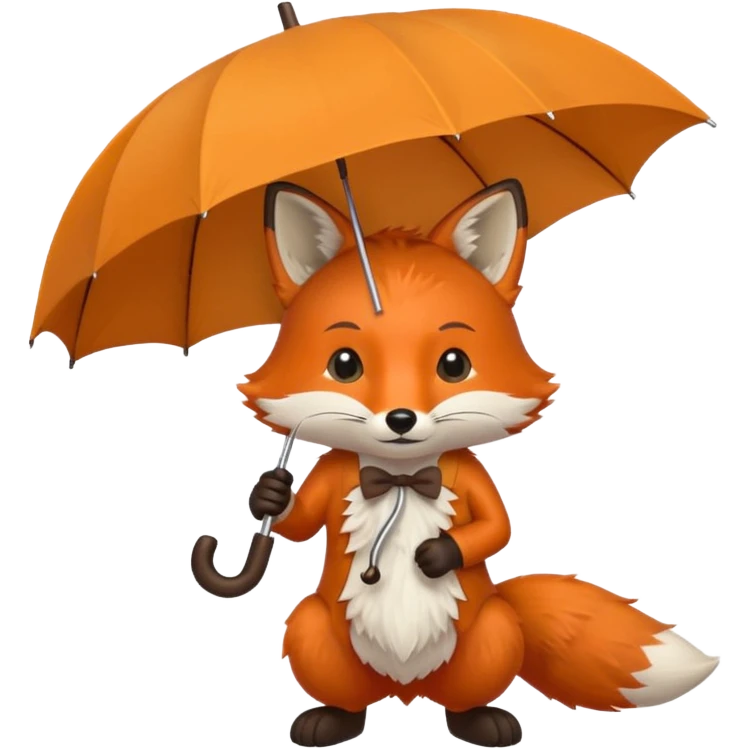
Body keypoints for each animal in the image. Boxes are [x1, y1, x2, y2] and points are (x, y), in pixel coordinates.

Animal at [226, 178, 719, 747]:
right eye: (344, 364)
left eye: (454, 364)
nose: (400, 418)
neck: (400, 476)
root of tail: (405, 691)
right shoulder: (335, 476)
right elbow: (301, 521)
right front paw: (270, 496)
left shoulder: (474, 479)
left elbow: (496, 529)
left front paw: (436, 555)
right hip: (313, 631)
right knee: (344, 692)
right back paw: (330, 719)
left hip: (495, 632)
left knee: (468, 695)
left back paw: (483, 721)